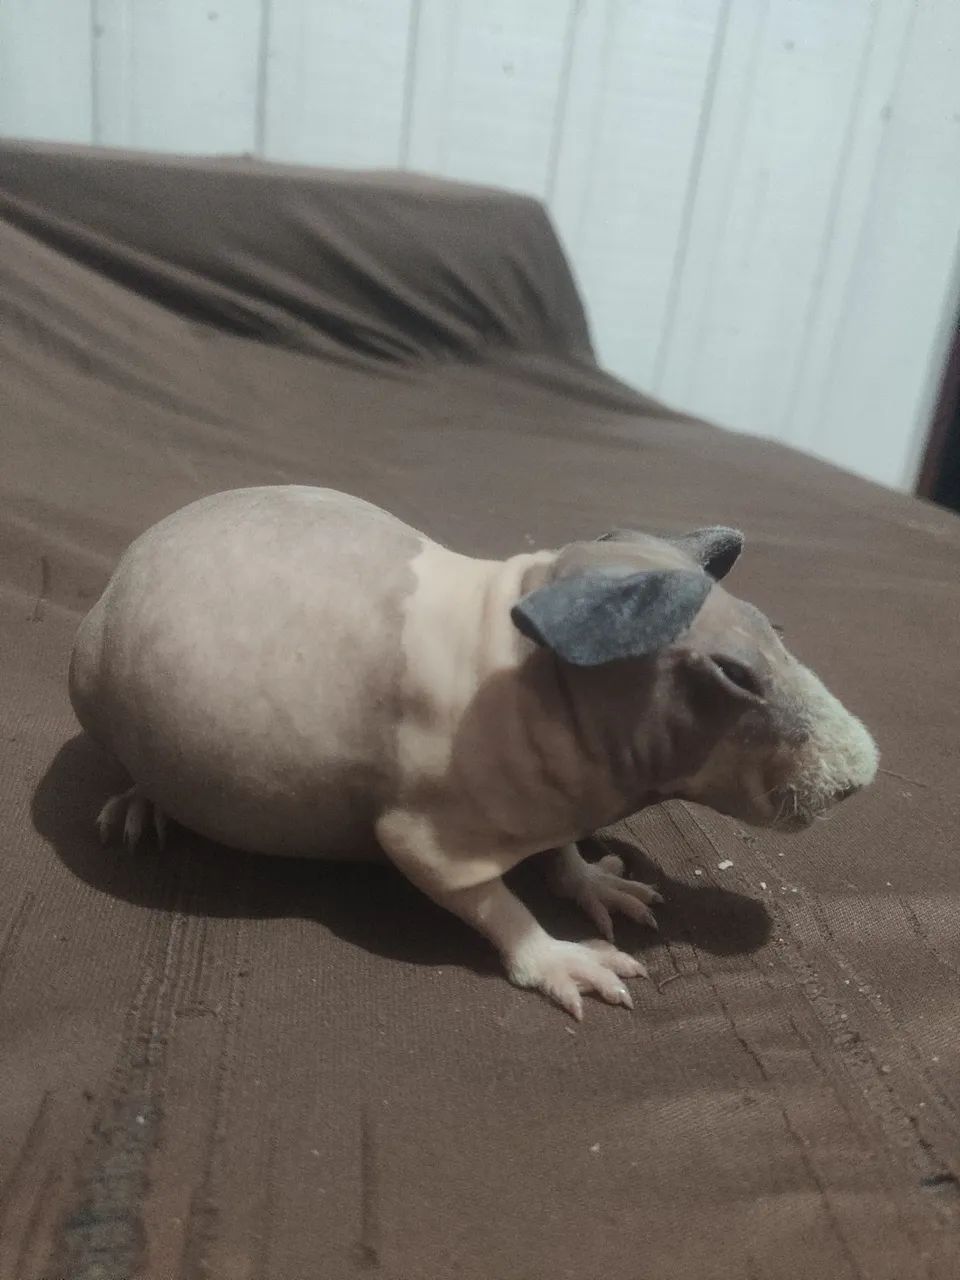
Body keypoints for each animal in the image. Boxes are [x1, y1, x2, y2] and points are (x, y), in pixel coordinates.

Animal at [69, 486, 878, 1018]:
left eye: (775, 631)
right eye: (735, 676)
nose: (858, 779)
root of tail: (132, 555)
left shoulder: (554, 792)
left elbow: (558, 854)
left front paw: (592, 879)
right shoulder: (428, 834)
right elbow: (480, 895)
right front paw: (559, 956)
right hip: (88, 683)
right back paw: (141, 802)